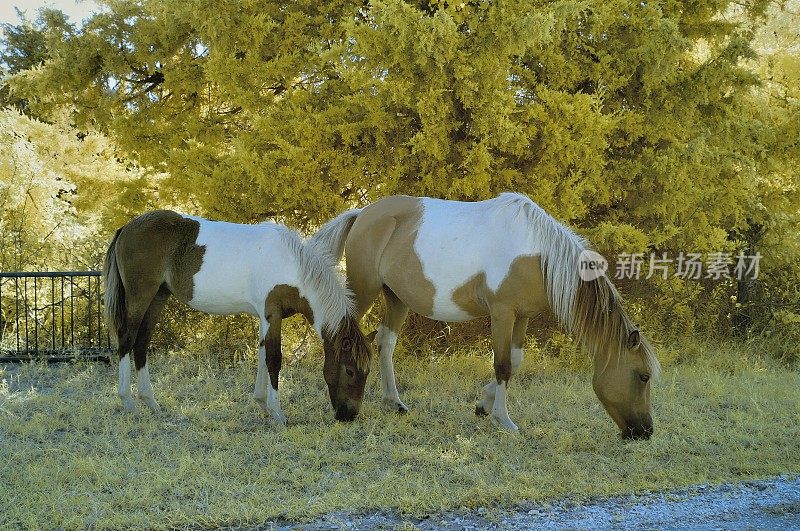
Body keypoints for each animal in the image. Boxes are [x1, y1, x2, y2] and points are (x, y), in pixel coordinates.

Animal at [102, 211, 372, 424]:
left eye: (366, 372)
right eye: (350, 371)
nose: (348, 415)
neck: (291, 267)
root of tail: (127, 227)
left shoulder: (265, 318)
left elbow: (263, 357)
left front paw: (262, 404)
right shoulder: (271, 314)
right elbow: (274, 359)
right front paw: (277, 413)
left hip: (158, 297)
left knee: (141, 344)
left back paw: (151, 402)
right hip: (140, 298)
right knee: (126, 340)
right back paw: (128, 402)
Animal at [314, 193, 664, 438]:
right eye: (643, 376)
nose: (645, 432)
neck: (536, 251)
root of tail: (362, 214)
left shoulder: (522, 316)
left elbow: (516, 361)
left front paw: (483, 405)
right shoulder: (502, 314)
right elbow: (503, 365)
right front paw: (503, 420)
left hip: (396, 297)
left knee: (385, 342)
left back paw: (394, 402)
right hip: (363, 290)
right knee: (341, 338)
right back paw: (342, 403)